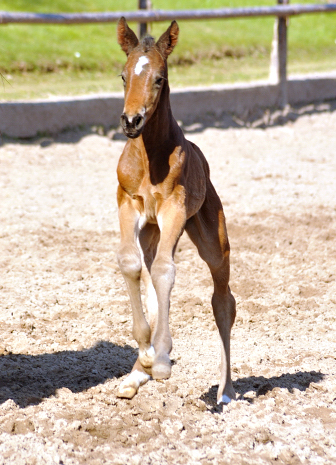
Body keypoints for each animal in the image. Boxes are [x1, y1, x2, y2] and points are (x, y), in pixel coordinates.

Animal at [115, 18, 236, 402]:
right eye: (123, 76)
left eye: (159, 78)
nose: (131, 121)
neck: (150, 156)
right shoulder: (127, 202)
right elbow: (131, 264)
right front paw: (147, 355)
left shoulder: (175, 208)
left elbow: (166, 271)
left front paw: (162, 362)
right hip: (151, 232)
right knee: (152, 278)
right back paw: (138, 372)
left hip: (211, 239)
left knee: (223, 301)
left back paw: (226, 390)